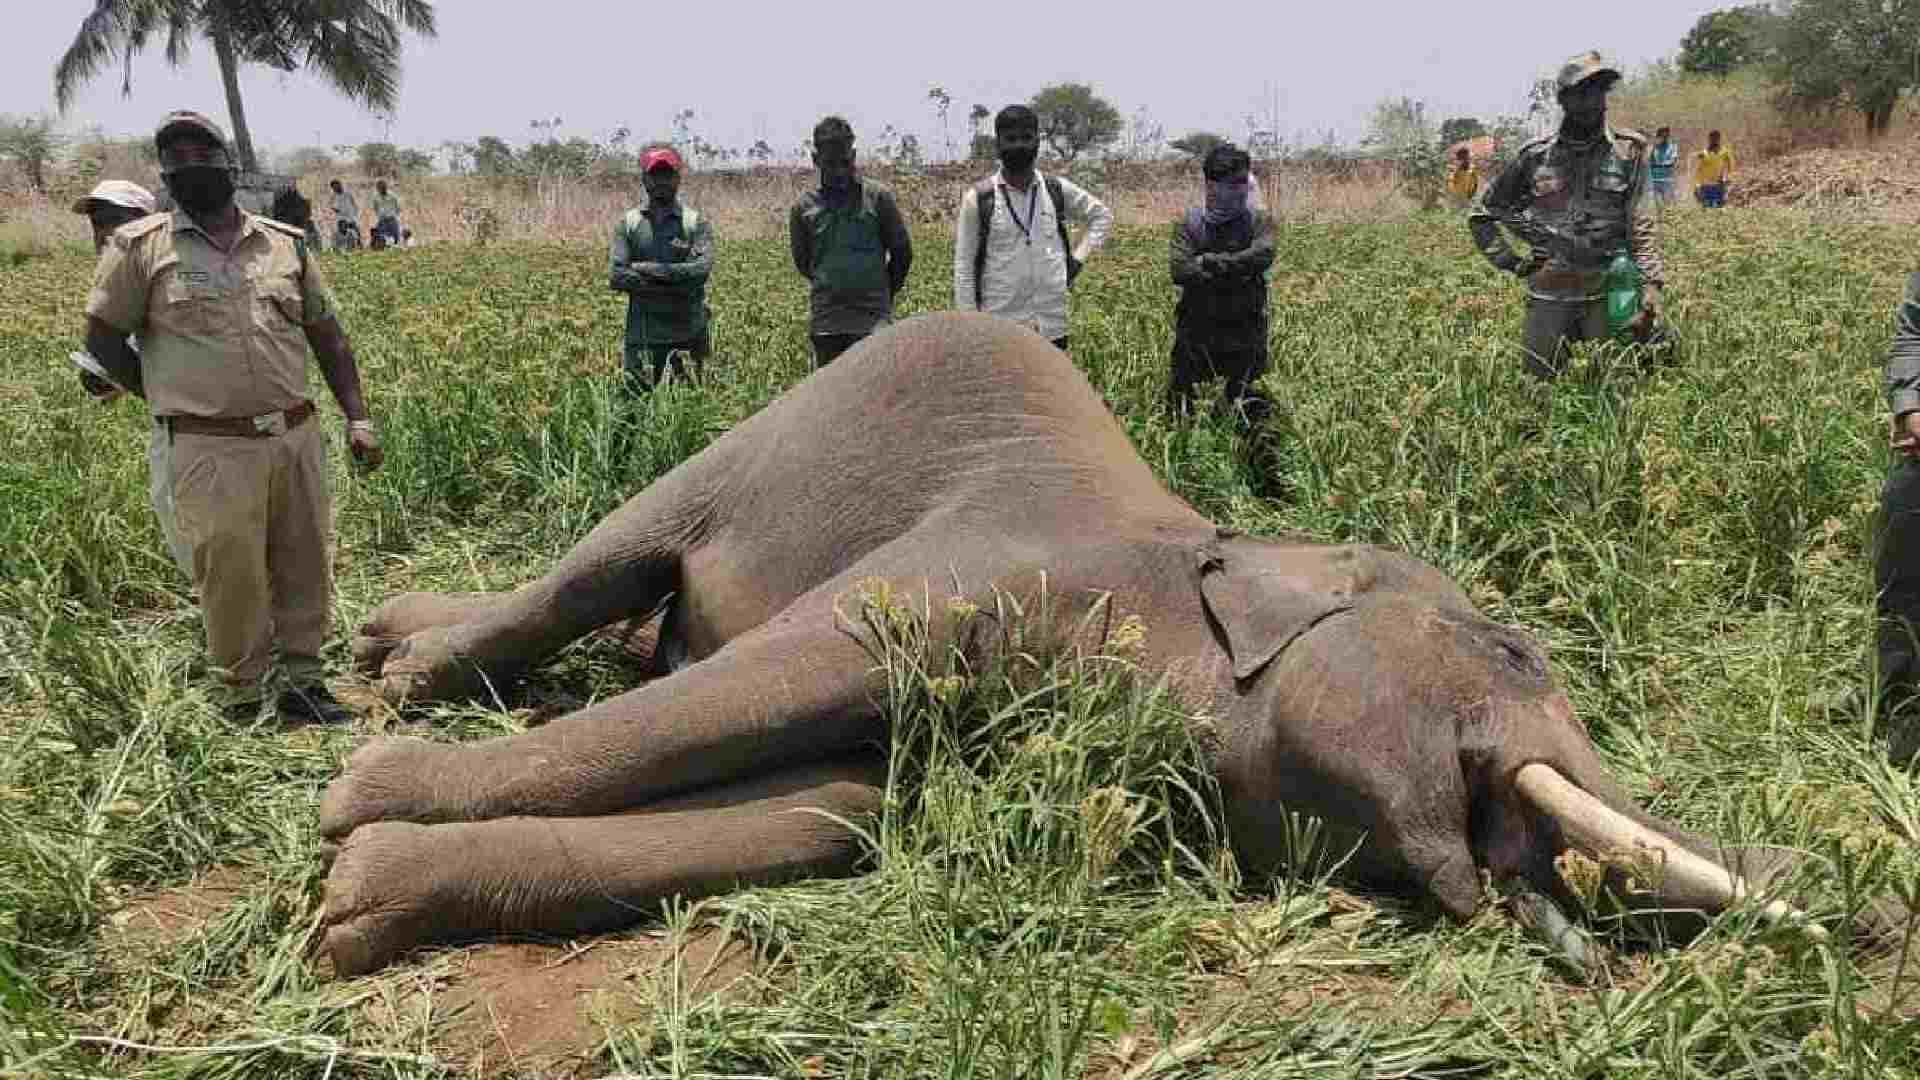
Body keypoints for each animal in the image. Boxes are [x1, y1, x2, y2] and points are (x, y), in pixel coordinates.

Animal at [318, 312, 1829, 978]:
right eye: (1513, 651)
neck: (1219, 551)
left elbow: (832, 807)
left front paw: (355, 903)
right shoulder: (984, 567)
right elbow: (781, 688)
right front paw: (352, 814)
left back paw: (394, 647)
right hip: (754, 439)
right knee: (605, 563)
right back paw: (392, 676)